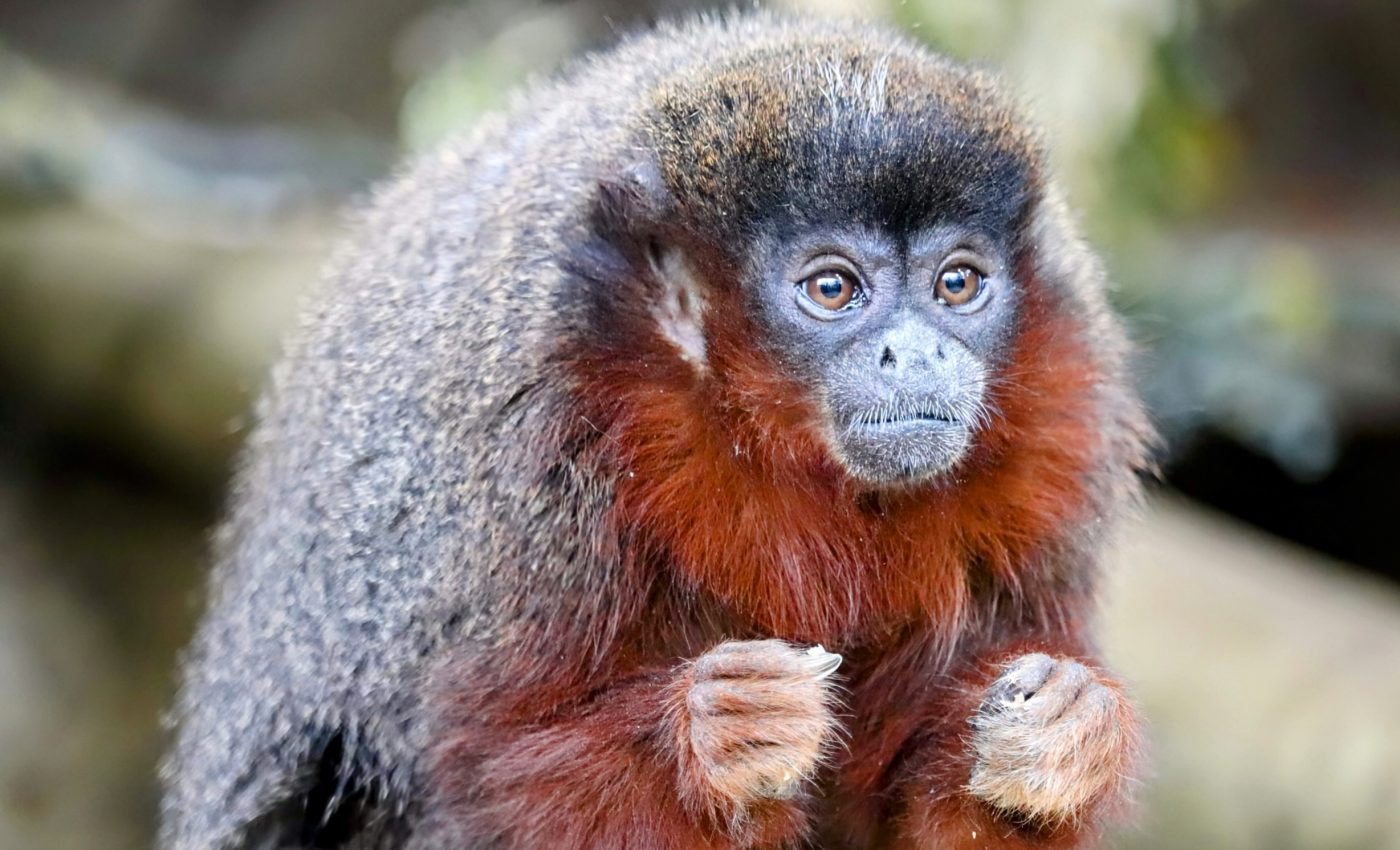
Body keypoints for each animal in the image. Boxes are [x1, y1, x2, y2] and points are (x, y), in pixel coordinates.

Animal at [160, 11, 1153, 850]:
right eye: (834, 289)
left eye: (957, 284)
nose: (915, 353)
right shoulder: (536, 436)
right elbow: (478, 773)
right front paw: (709, 741)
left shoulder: (1062, 427)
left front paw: (1061, 739)